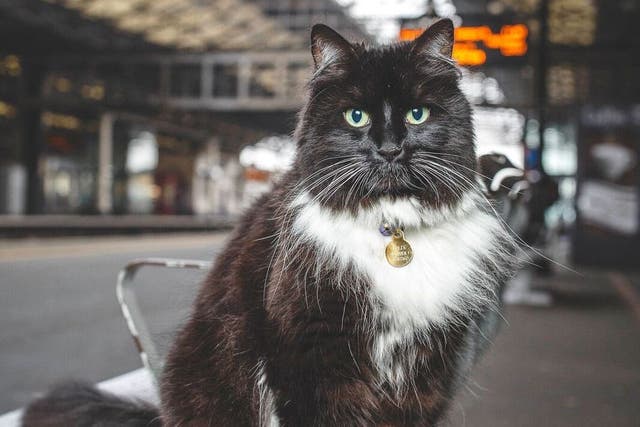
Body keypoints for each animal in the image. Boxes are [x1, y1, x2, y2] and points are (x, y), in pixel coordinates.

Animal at [22, 19, 516, 427]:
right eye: (356, 116)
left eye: (418, 114)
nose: (391, 149)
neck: (390, 227)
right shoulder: (309, 355)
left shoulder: (428, 367)